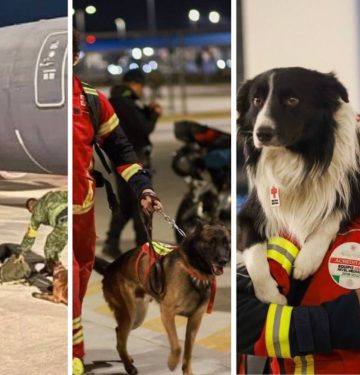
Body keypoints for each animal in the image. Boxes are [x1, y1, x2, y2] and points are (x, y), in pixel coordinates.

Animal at [95, 223, 231, 375]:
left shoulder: (195, 320)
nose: (224, 261)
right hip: (128, 315)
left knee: (119, 334)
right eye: (211, 242)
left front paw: (187, 371)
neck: (194, 270)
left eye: (227, 243)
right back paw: (129, 367)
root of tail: (110, 267)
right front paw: (172, 363)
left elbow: (188, 351)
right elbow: (177, 346)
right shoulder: (167, 313)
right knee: (121, 339)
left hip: (137, 318)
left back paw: (127, 358)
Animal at [238, 66, 358, 304]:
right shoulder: (249, 212)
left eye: (292, 100)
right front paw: (272, 296)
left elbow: (332, 216)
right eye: (256, 100)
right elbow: (254, 255)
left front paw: (307, 260)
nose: (262, 133)